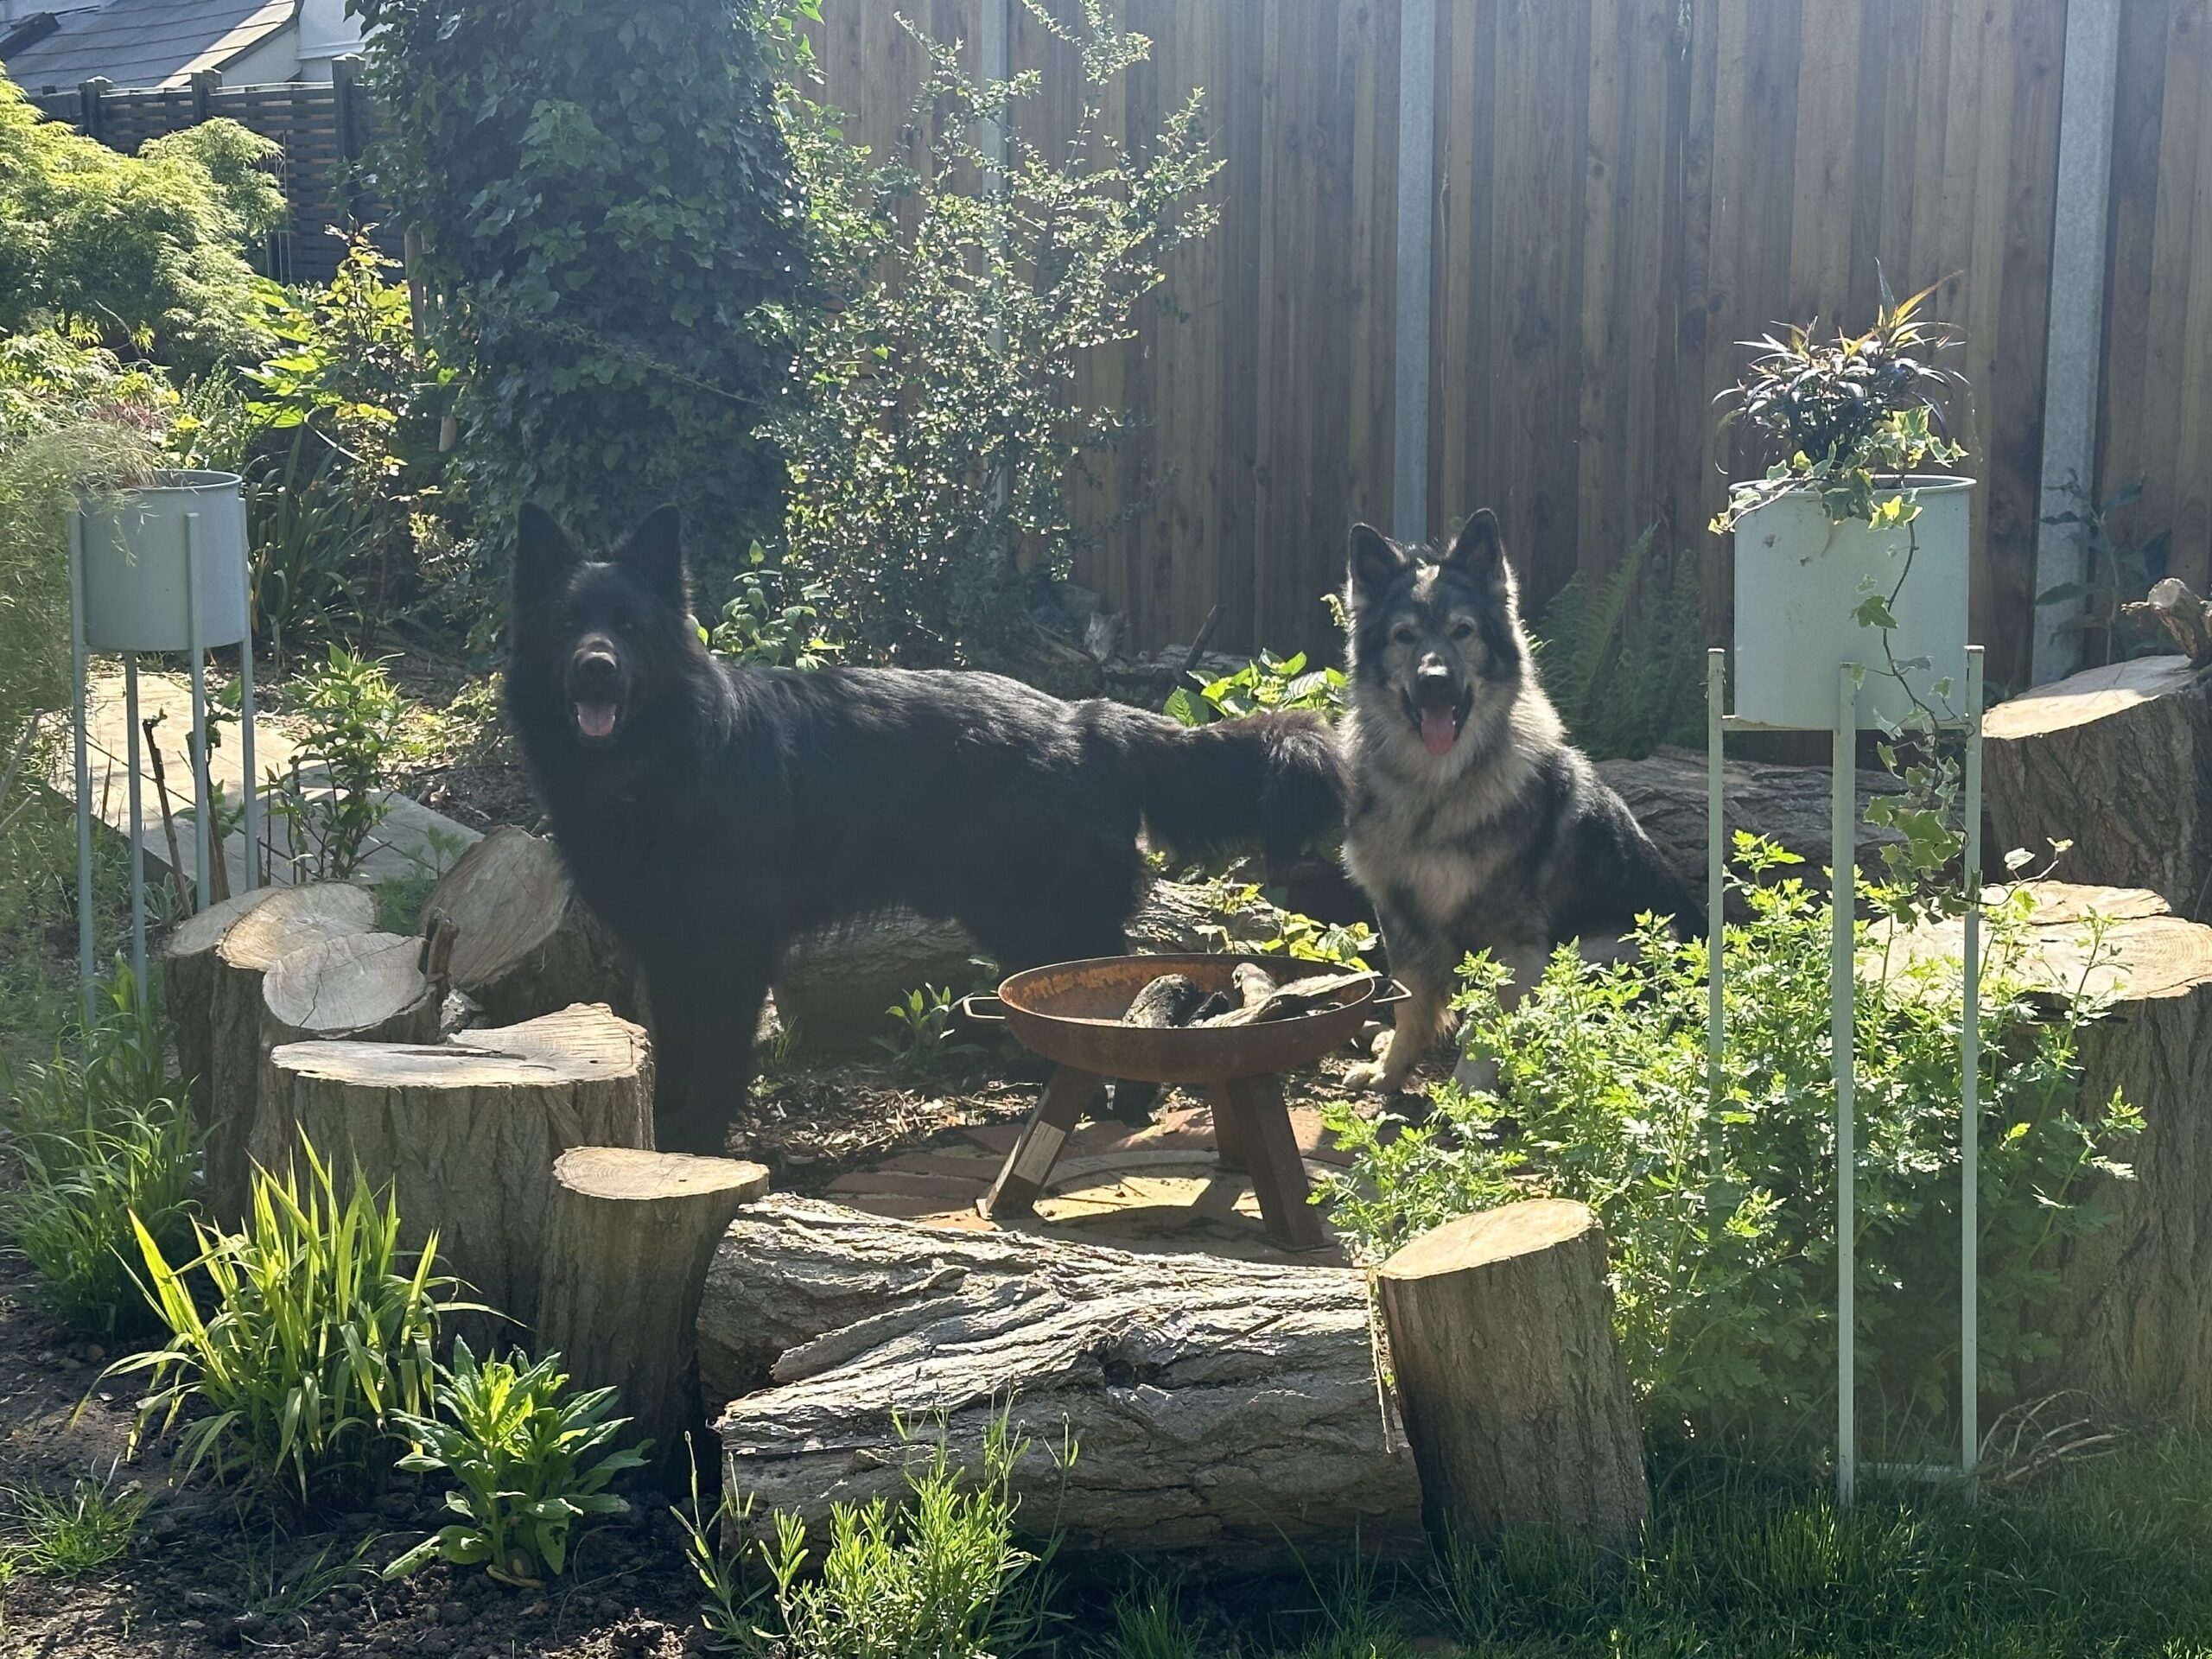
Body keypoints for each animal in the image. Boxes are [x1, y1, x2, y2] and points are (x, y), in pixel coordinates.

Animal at [508, 506, 1336, 1159]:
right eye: (568, 626)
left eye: (629, 627)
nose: (596, 669)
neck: (662, 759)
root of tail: (1087, 717)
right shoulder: (664, 946)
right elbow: (675, 1044)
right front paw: (664, 1132)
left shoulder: (730, 946)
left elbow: (717, 1051)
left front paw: (698, 1143)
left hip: (1043, 914)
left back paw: (1124, 1096)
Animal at [1327, 512, 1689, 1096]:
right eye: (1405, 636)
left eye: (1463, 631)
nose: (1434, 683)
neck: (1434, 789)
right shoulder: (1400, 921)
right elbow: (1410, 1006)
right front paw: (1391, 1071)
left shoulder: (1508, 941)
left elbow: (1486, 1024)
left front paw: (1467, 1095)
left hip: (1602, 949)